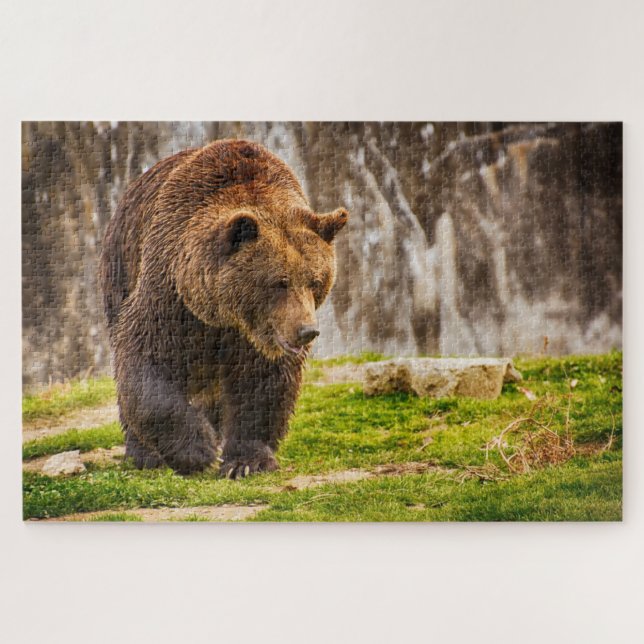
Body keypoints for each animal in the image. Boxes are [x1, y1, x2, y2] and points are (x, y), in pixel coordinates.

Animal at [99, 139, 348, 477]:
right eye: (280, 282)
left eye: (316, 280)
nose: (306, 331)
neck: (222, 315)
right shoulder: (170, 298)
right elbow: (145, 364)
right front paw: (196, 451)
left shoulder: (257, 338)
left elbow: (263, 383)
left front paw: (246, 462)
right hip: (120, 268)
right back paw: (145, 454)